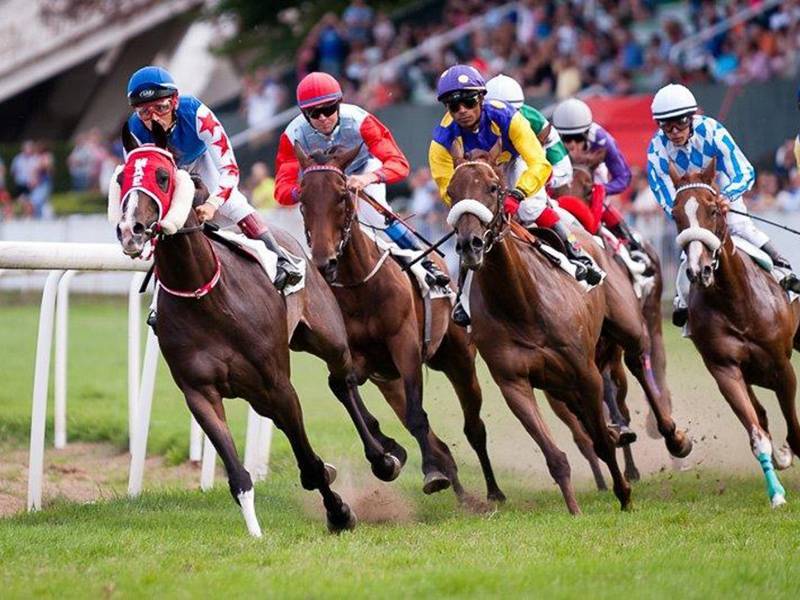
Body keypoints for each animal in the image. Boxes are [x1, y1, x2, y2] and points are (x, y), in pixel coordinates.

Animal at [113, 124, 404, 536]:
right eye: (121, 177)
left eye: (163, 176)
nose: (130, 230)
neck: (207, 297)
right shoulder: (199, 392)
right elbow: (238, 474)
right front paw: (255, 531)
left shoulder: (279, 384)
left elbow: (309, 464)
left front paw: (339, 512)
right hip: (258, 388)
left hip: (326, 339)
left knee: (342, 382)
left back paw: (384, 454)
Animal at [294, 143, 506, 504]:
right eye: (302, 198)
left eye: (342, 195)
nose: (325, 262)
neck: (359, 288)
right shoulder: (353, 356)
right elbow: (345, 391)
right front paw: (387, 454)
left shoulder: (404, 345)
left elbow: (417, 416)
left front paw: (429, 471)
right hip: (388, 380)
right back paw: (459, 488)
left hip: (458, 359)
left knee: (473, 426)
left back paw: (491, 491)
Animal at [446, 144, 692, 510]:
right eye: (451, 192)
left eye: (493, 188)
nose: (469, 244)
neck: (521, 304)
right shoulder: (514, 383)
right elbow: (558, 454)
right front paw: (574, 508)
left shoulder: (585, 370)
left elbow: (602, 439)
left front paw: (624, 496)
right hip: (560, 384)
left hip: (630, 329)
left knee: (639, 367)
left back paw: (672, 438)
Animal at [668, 158, 800, 506]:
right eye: (675, 214)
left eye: (714, 209)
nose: (698, 270)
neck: (736, 303)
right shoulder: (725, 369)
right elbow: (757, 432)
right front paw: (776, 493)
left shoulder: (782, 366)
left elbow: (794, 429)